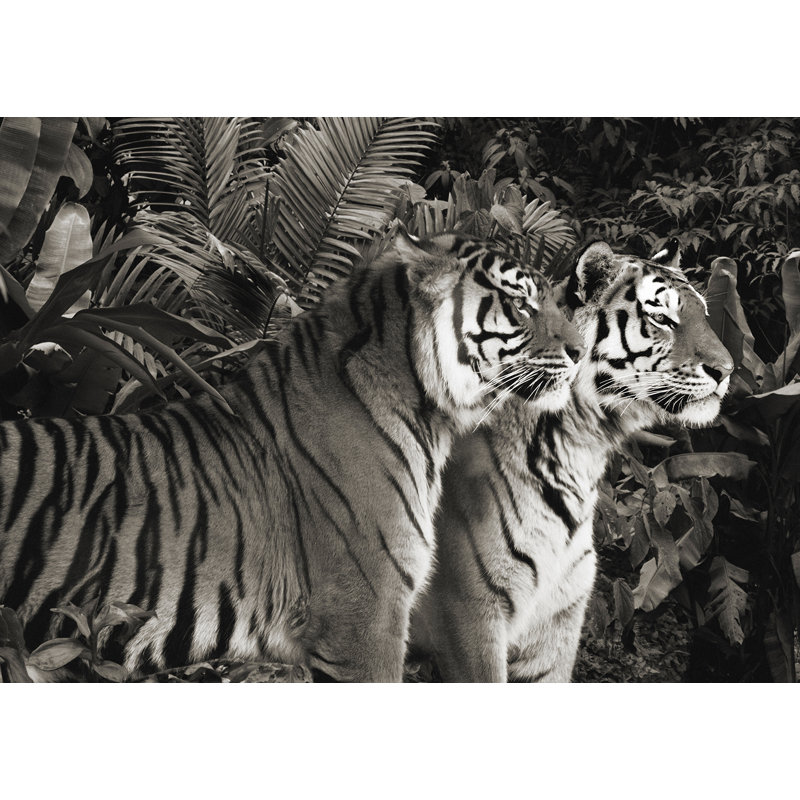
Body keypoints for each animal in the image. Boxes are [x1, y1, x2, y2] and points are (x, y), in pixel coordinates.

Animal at [409, 239, 733, 682]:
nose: (728, 370)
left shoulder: (558, 619)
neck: (581, 447)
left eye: (704, 314)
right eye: (661, 318)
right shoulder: (469, 614)